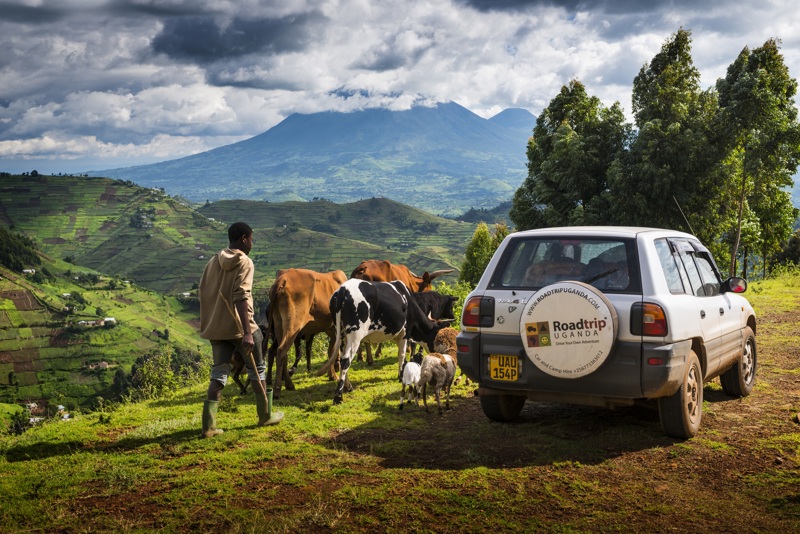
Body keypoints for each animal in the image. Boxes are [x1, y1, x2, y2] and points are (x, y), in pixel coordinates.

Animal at [268, 270, 346, 400]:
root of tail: (282, 279)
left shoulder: (331, 329)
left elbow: (331, 351)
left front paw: (331, 374)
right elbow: (332, 351)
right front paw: (333, 375)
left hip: (279, 323)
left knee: (282, 353)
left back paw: (289, 384)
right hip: (293, 323)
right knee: (281, 351)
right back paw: (277, 390)